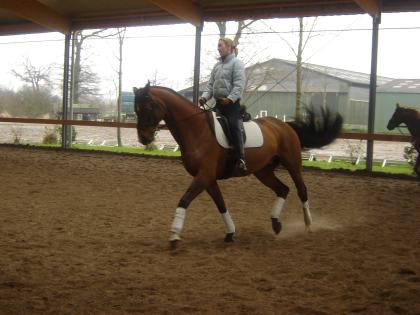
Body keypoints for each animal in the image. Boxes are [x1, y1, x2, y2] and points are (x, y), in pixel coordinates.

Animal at [133, 83, 342, 249]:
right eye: (136, 109)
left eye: (149, 106)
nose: (144, 138)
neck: (196, 130)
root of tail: (284, 125)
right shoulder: (208, 179)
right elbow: (221, 204)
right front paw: (230, 233)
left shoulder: (204, 176)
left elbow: (184, 201)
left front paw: (174, 236)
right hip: (263, 172)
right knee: (283, 189)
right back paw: (276, 224)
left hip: (292, 164)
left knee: (301, 190)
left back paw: (308, 225)